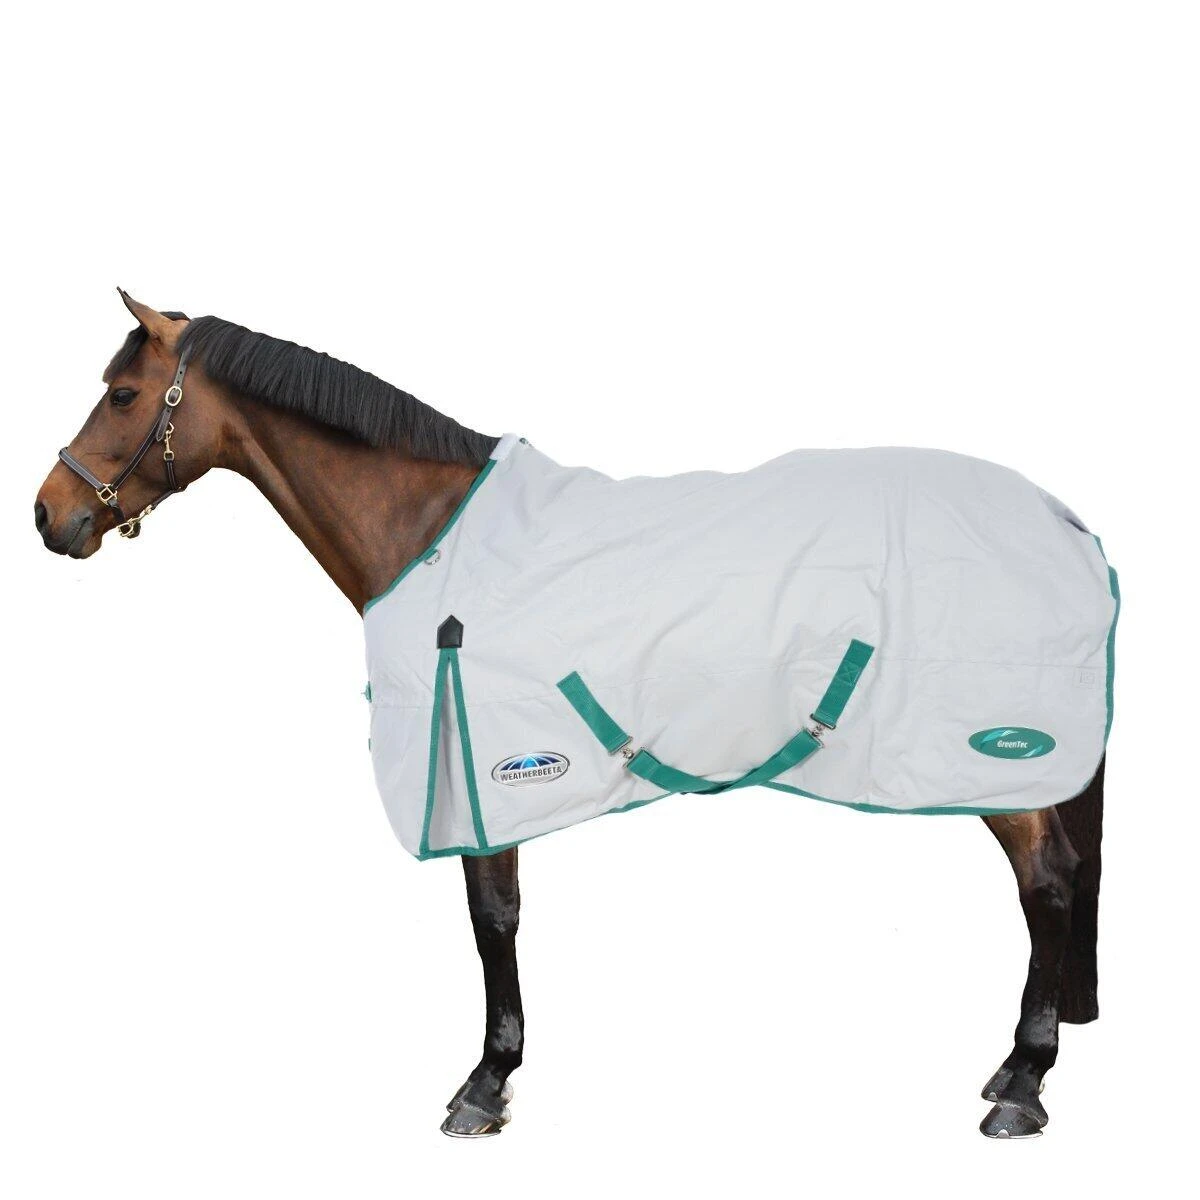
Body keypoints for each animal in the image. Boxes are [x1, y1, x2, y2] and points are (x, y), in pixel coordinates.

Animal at [35, 292, 1109, 1140]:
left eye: (123, 395)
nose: (50, 516)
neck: (429, 533)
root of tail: (1064, 520)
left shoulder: (479, 771)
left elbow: (493, 918)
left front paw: (485, 1083)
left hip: (997, 761)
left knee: (1049, 883)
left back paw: (1023, 1084)